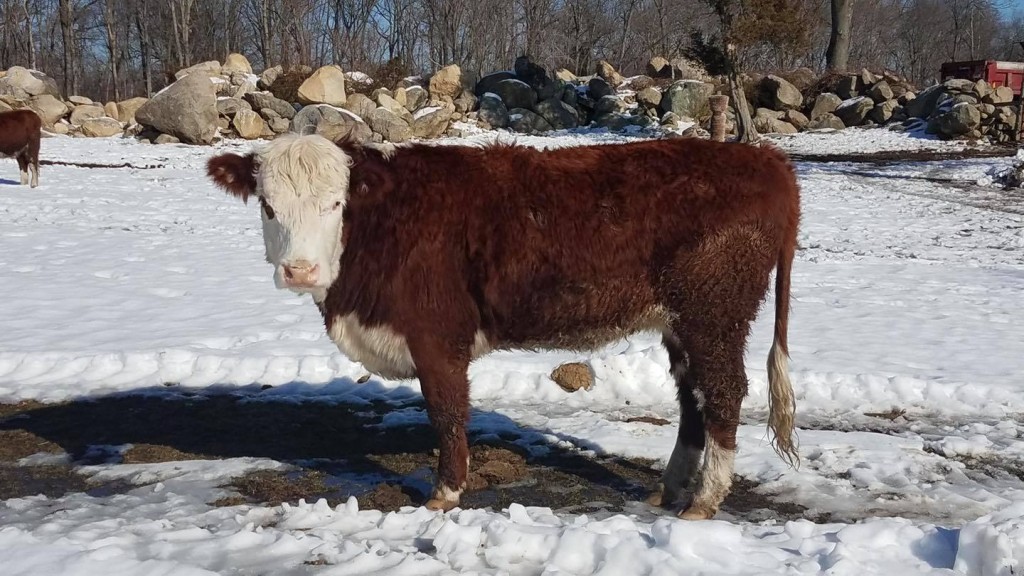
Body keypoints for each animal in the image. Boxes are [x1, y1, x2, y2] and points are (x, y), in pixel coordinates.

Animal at [206, 133, 801, 520]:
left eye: (336, 203)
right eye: (267, 206)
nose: (299, 269)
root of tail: (765, 158)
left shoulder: (437, 336)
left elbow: (447, 414)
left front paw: (445, 493)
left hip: (713, 311)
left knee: (723, 392)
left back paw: (704, 499)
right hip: (681, 320)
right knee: (692, 397)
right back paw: (671, 489)